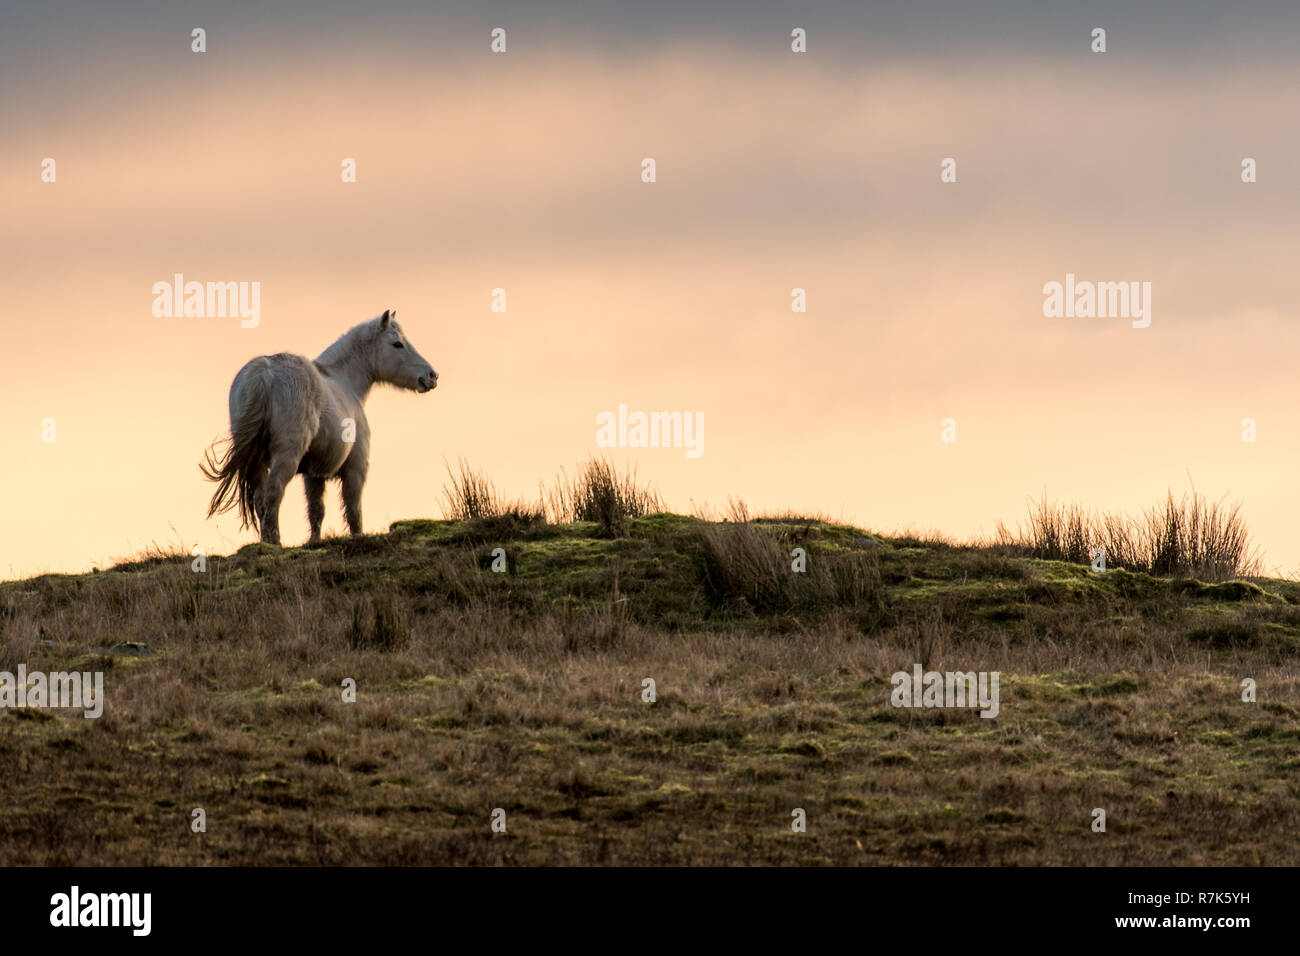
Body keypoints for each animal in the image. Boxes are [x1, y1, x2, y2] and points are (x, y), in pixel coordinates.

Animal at [201, 309, 437, 545]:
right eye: (397, 344)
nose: (431, 376)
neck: (344, 382)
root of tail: (264, 373)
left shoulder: (314, 474)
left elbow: (316, 510)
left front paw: (314, 542)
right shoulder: (355, 468)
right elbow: (354, 511)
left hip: (257, 461)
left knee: (260, 499)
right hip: (286, 456)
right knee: (273, 494)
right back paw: (275, 542)